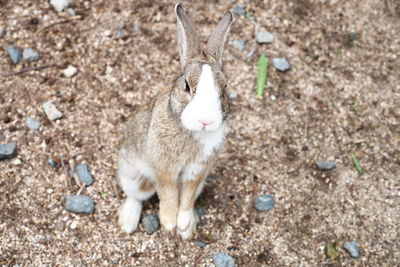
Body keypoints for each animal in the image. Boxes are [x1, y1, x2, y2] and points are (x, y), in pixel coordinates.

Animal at [117, 3, 233, 241]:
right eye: (187, 86)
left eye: (224, 88)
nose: (205, 121)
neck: (192, 131)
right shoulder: (165, 170)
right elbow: (168, 195)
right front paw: (169, 223)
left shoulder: (196, 173)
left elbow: (186, 199)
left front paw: (182, 225)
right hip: (134, 175)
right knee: (136, 196)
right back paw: (128, 222)